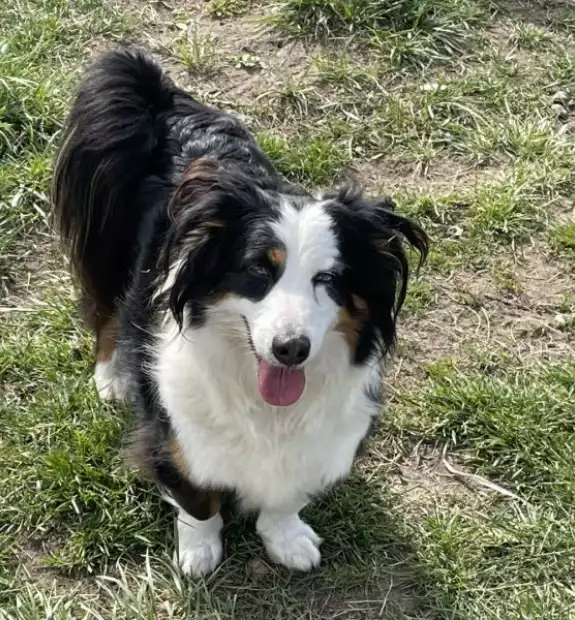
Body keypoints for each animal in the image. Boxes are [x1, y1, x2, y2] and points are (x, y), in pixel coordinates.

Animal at [52, 49, 428, 577]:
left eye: (330, 279)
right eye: (258, 269)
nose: (291, 350)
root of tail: (168, 105)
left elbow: (287, 495)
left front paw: (287, 538)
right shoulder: (176, 421)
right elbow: (195, 493)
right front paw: (198, 550)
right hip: (106, 236)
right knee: (104, 307)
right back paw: (112, 375)